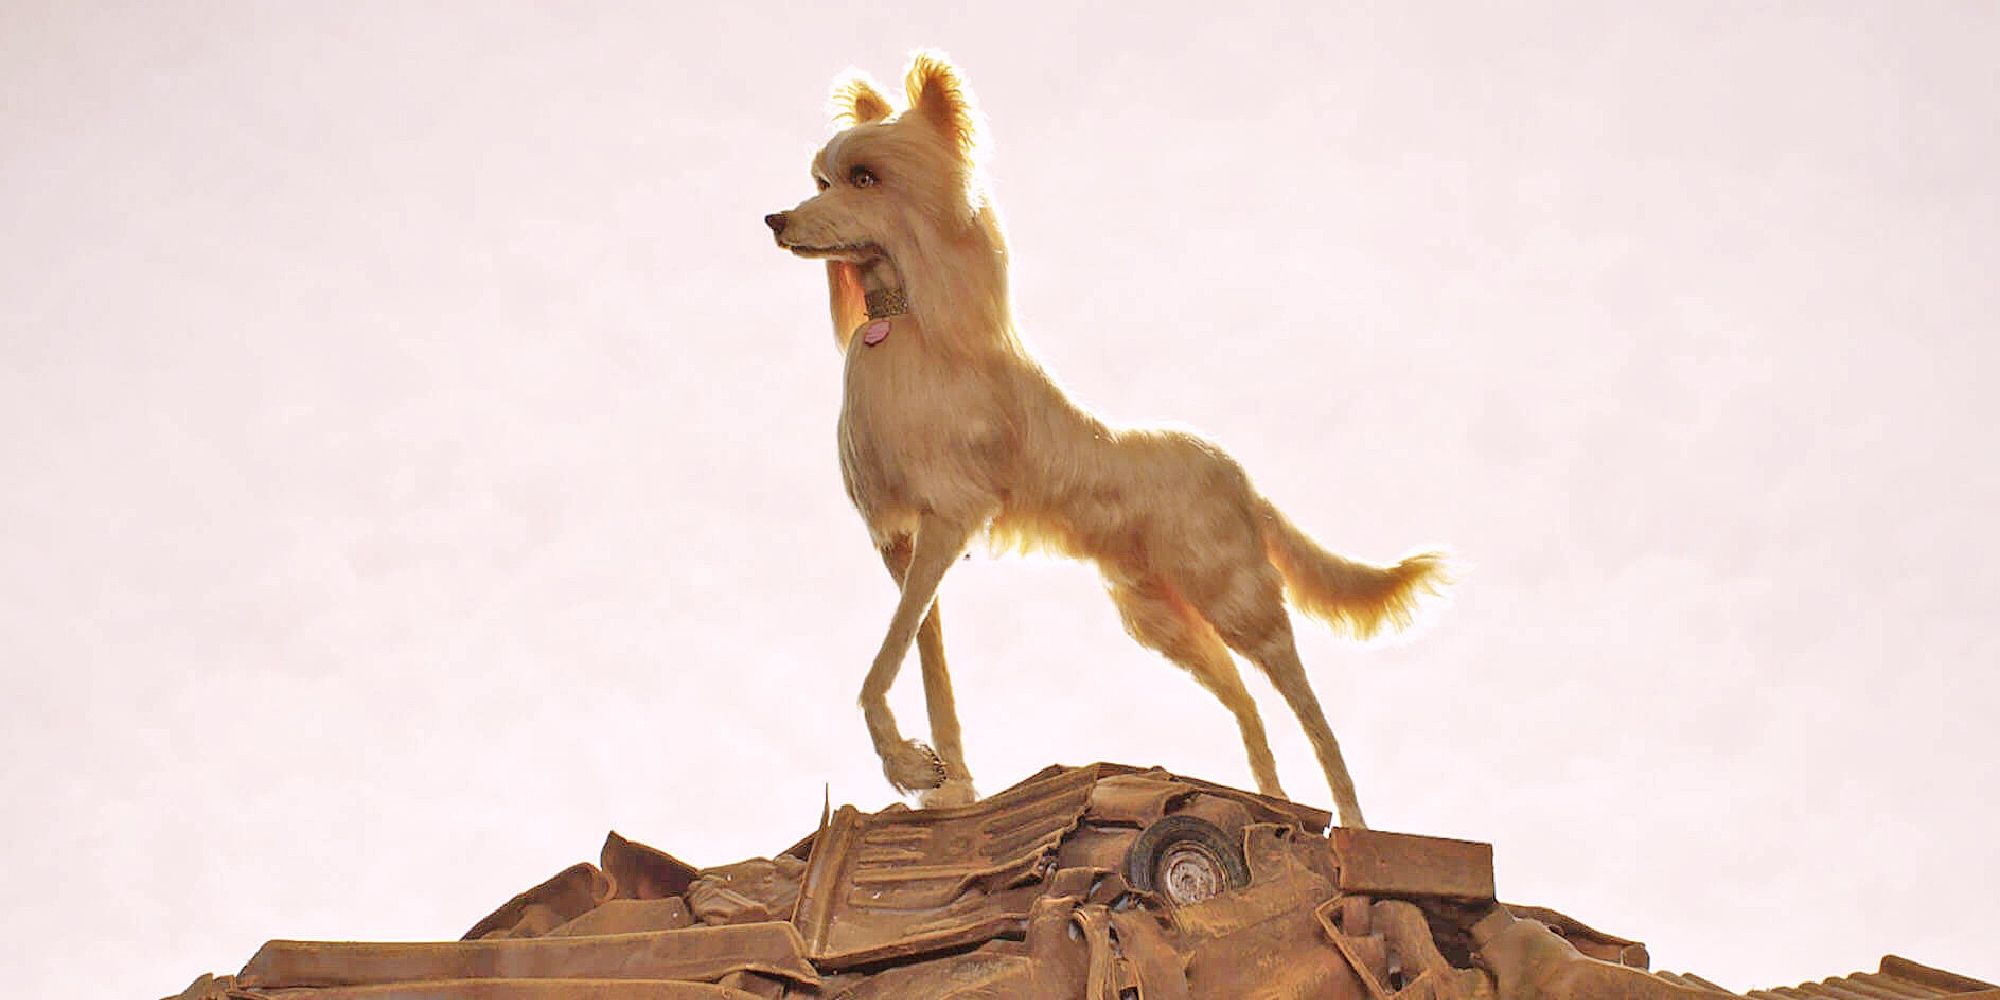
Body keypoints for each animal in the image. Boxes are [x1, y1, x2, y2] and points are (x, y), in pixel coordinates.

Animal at [760, 50, 1440, 824]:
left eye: (866, 179)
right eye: (822, 180)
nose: (775, 220)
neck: (908, 330)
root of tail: (1232, 470)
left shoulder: (947, 522)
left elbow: (883, 663)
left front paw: (908, 767)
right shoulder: (904, 543)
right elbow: (925, 658)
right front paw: (948, 784)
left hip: (1233, 595)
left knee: (1304, 698)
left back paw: (1351, 822)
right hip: (1159, 615)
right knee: (1243, 698)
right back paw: (1267, 801)